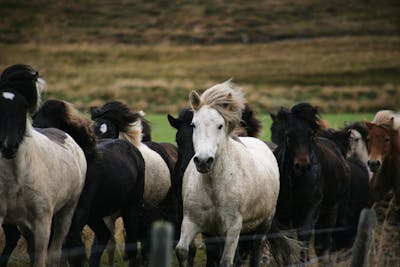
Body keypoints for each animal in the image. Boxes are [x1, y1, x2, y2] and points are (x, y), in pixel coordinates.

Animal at [0, 65, 86, 267]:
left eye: (23, 106)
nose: (8, 146)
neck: (17, 178)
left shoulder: (42, 223)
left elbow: (41, 258)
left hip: (66, 213)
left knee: (56, 251)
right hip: (24, 224)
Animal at [175, 80, 282, 266]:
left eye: (220, 126)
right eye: (194, 125)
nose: (203, 161)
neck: (213, 186)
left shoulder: (233, 227)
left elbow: (226, 261)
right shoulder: (192, 221)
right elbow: (182, 251)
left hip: (263, 225)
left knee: (256, 250)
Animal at [268, 103, 350, 262]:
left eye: (310, 134)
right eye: (288, 135)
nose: (302, 166)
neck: (295, 181)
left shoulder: (312, 207)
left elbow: (304, 235)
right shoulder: (282, 214)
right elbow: (288, 241)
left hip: (331, 210)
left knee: (325, 242)